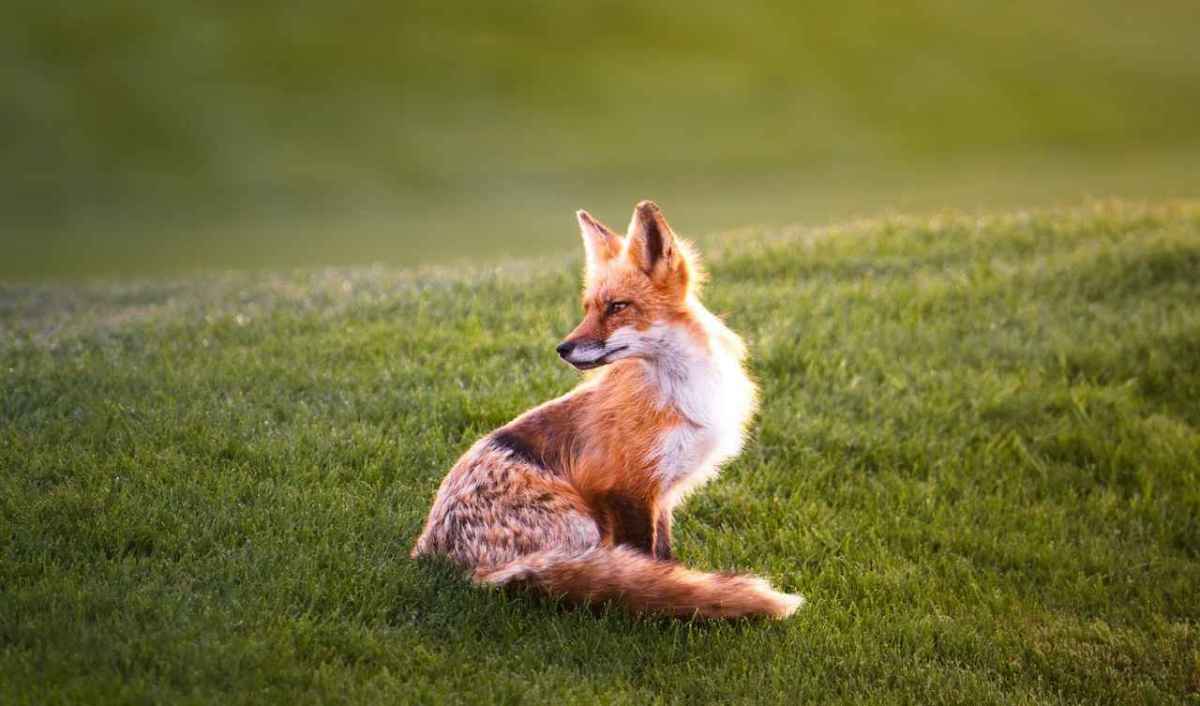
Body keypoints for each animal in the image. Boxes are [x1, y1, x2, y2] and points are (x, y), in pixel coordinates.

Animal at [411, 200, 804, 619]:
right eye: (588, 308)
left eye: (617, 307)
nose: (562, 349)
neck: (679, 392)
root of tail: (444, 562)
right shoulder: (623, 488)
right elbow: (649, 563)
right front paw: (663, 596)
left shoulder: (660, 493)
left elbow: (664, 557)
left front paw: (675, 583)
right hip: (582, 531)